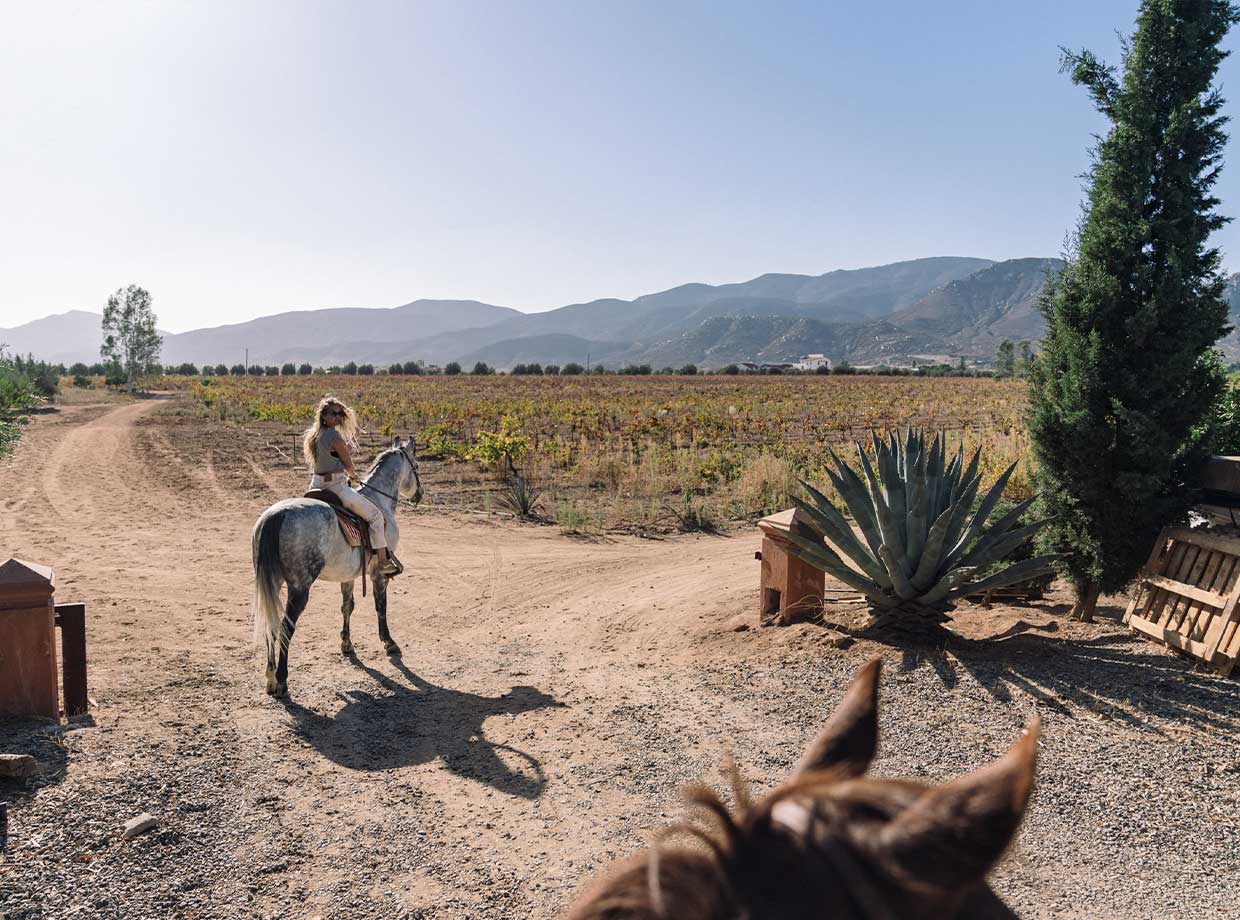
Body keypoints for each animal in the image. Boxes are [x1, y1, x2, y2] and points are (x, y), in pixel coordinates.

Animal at [249, 436, 424, 694]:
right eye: (417, 466)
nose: (419, 494)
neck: (379, 502)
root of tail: (276, 516)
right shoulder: (377, 575)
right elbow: (381, 607)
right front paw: (389, 643)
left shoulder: (348, 575)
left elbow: (347, 606)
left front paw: (347, 643)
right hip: (299, 589)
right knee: (285, 627)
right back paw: (281, 679)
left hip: (272, 582)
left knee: (271, 624)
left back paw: (270, 677)